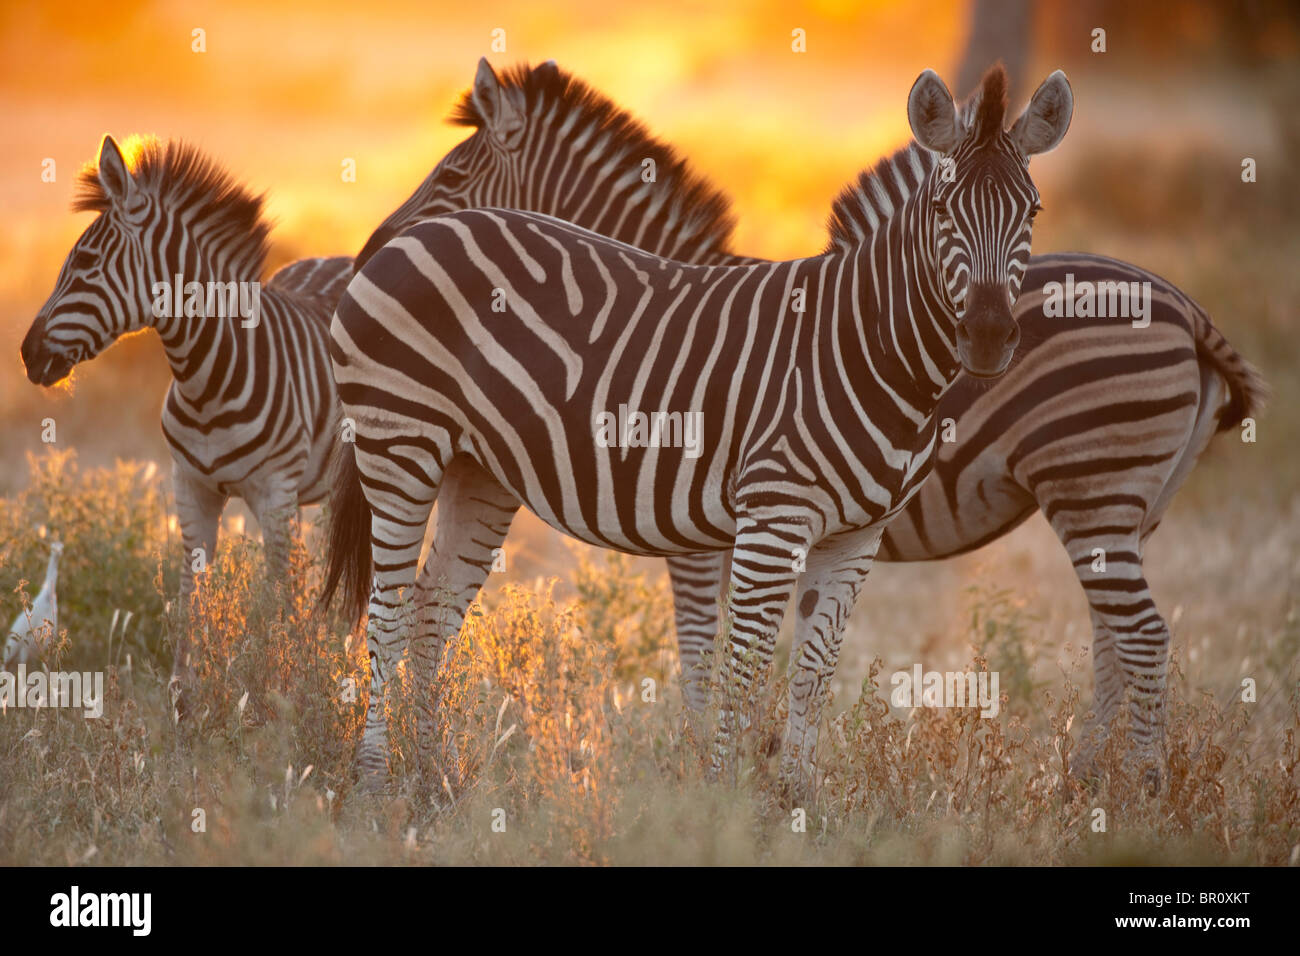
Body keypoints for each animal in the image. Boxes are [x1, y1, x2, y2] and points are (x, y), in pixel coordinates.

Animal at [20, 132, 353, 702]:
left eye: (85, 262)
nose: (25, 352)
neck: (209, 380)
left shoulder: (275, 495)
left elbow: (274, 602)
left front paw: (278, 693)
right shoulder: (190, 487)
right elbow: (189, 601)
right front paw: (185, 702)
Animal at [351, 63, 1263, 790]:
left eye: (1033, 209)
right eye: (942, 207)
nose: (988, 338)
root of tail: (1184, 305)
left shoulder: (787, 531)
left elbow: (764, 660)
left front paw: (755, 789)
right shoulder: (738, 525)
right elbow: (729, 659)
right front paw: (727, 785)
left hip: (1098, 493)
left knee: (1137, 637)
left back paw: (1130, 788)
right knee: (401, 612)